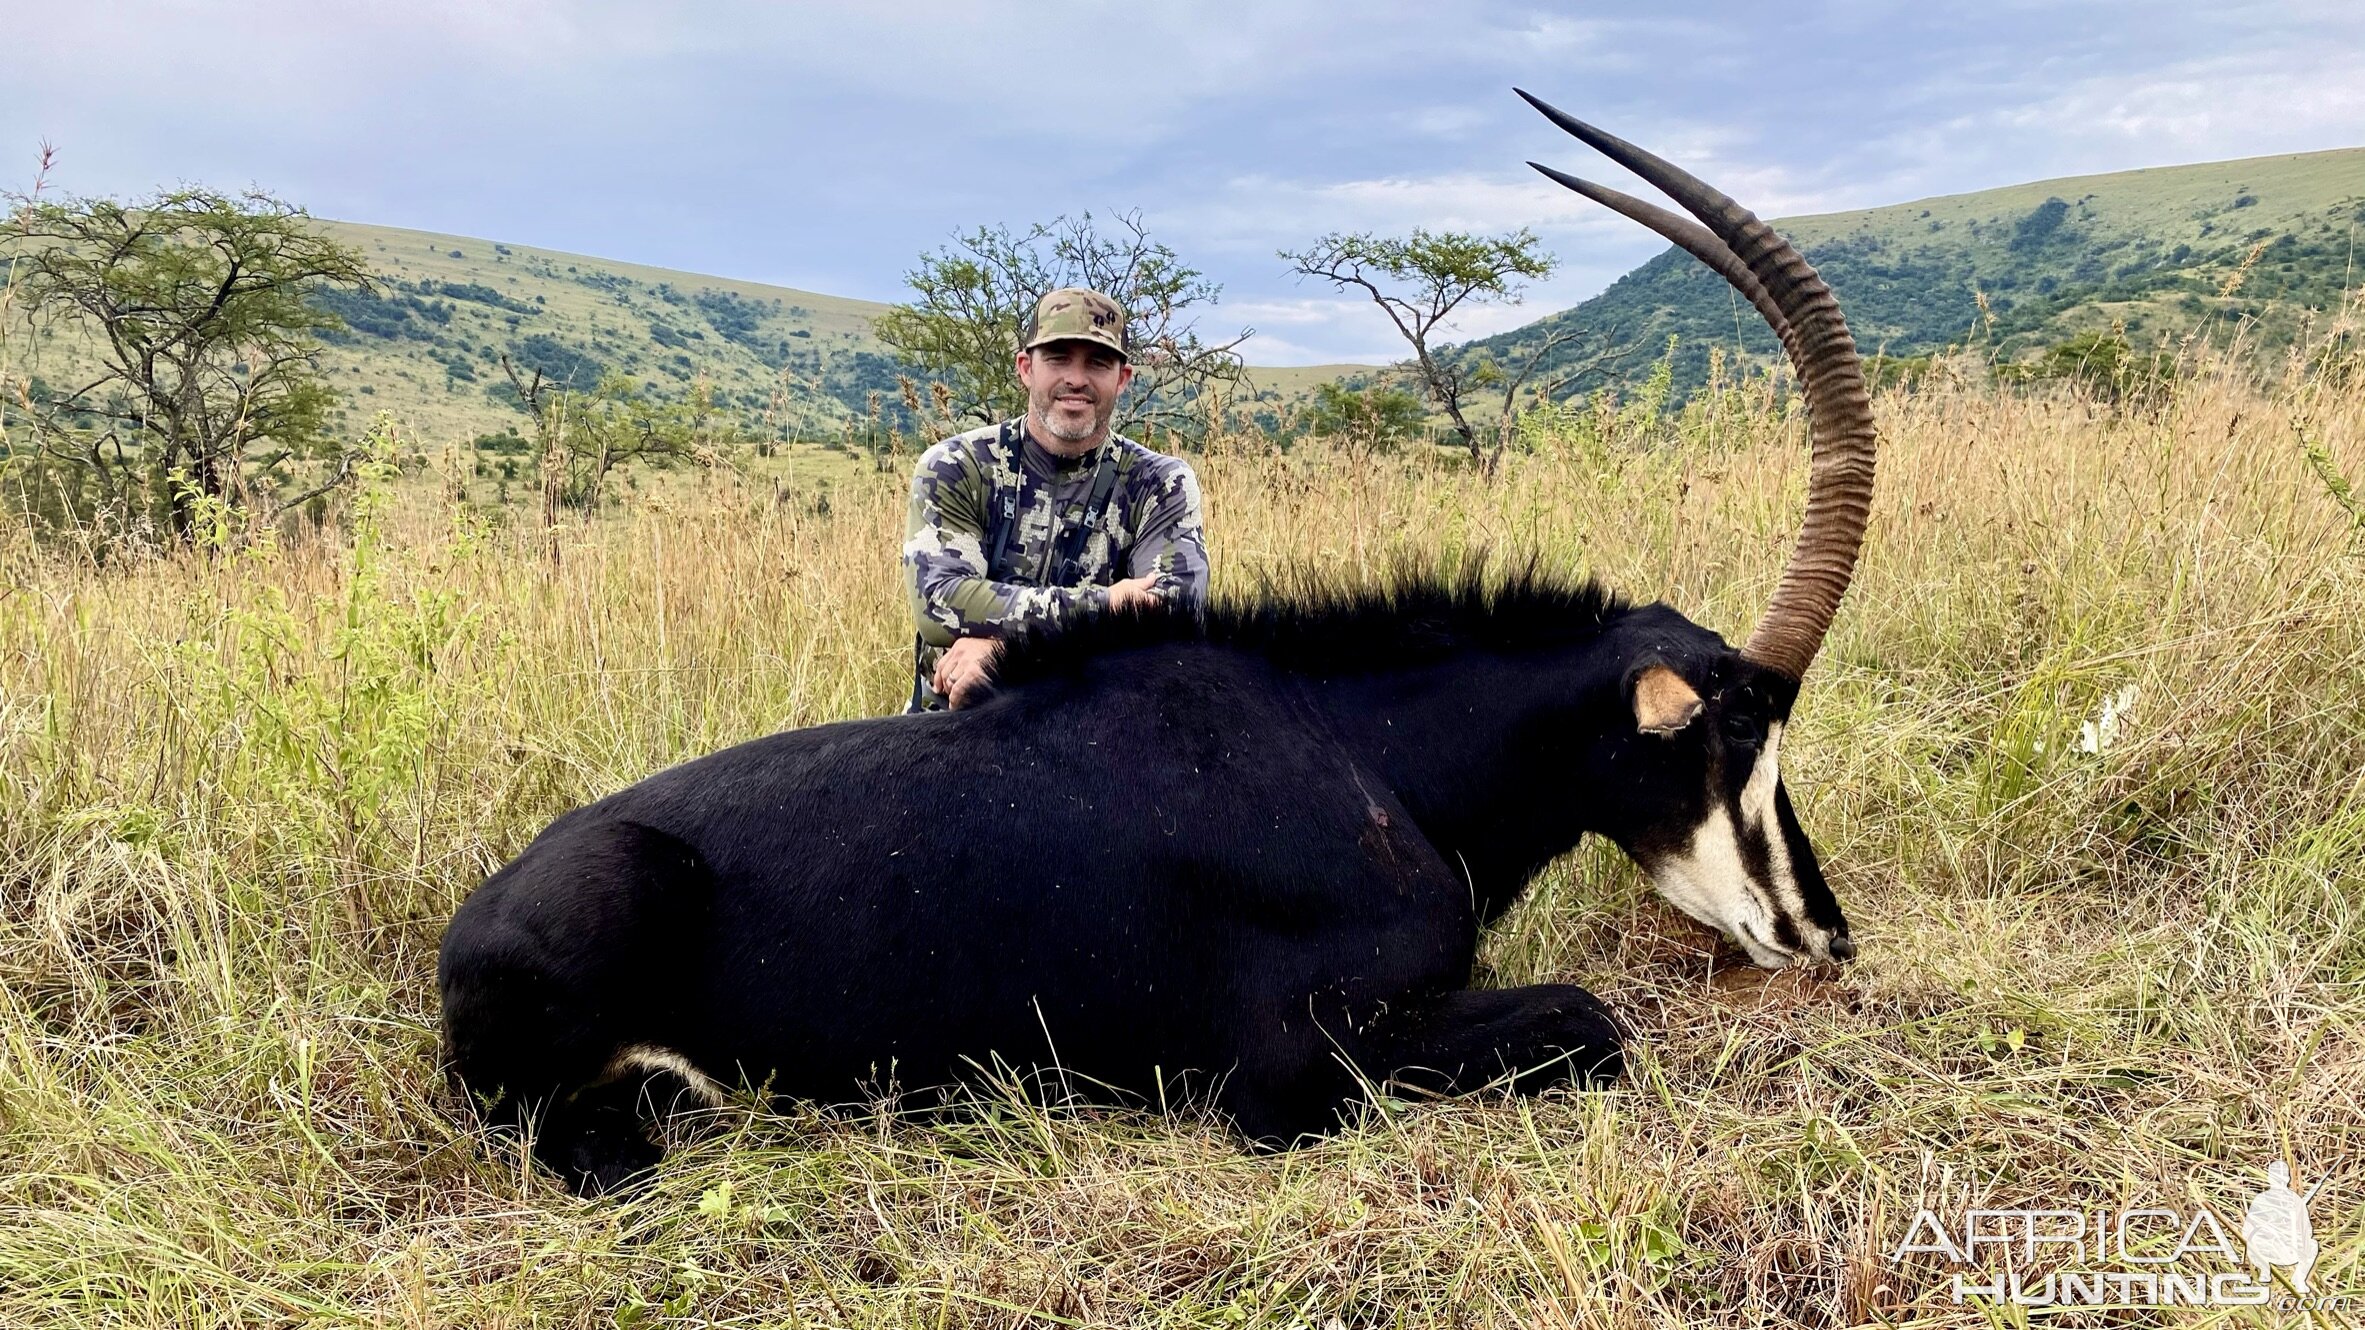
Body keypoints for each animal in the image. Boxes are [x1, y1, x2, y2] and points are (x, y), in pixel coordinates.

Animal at [444, 93, 1873, 1192]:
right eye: (1732, 728)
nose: (1823, 936)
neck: (1368, 755)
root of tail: (472, 923)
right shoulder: (1289, 1068)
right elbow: (1589, 1018)